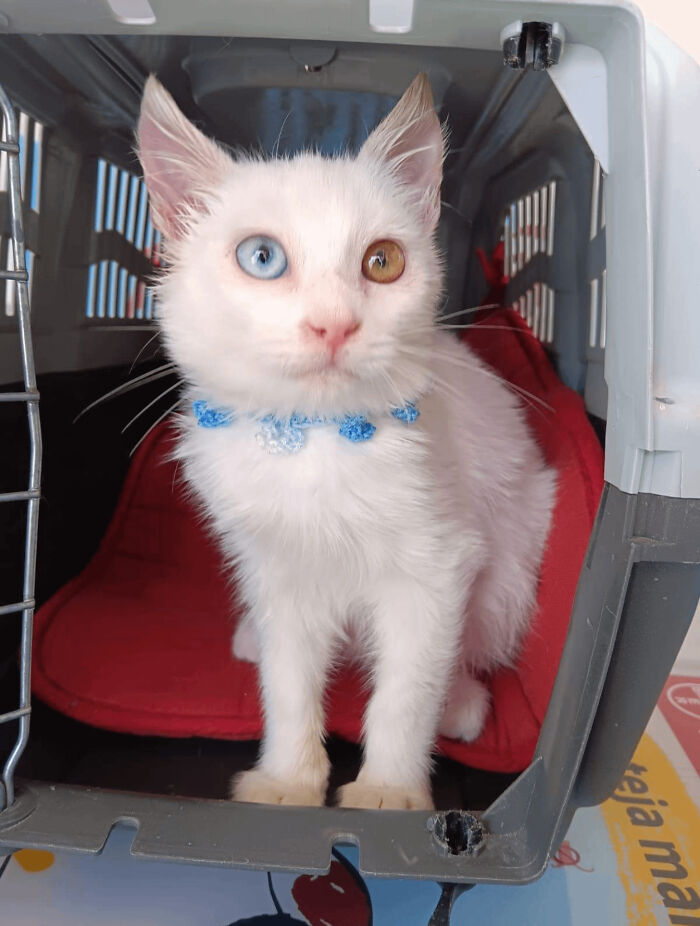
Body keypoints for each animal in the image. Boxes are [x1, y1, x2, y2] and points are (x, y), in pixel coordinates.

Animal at [135, 72, 552, 812]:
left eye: (383, 262)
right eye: (262, 257)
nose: (335, 325)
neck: (315, 441)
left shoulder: (436, 566)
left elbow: (408, 685)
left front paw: (388, 791)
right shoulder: (278, 568)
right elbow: (288, 678)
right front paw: (285, 781)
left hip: (514, 561)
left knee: (473, 642)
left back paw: (463, 703)